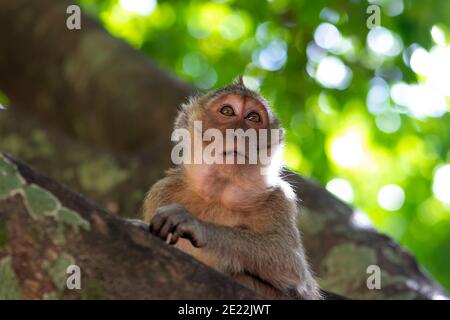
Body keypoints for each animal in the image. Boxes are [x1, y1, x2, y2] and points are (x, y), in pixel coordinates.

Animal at [142, 77, 322, 300]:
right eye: (227, 111)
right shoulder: (162, 192)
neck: (218, 193)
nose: (239, 132)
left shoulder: (279, 198)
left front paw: (196, 225)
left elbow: (290, 263)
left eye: (253, 117)